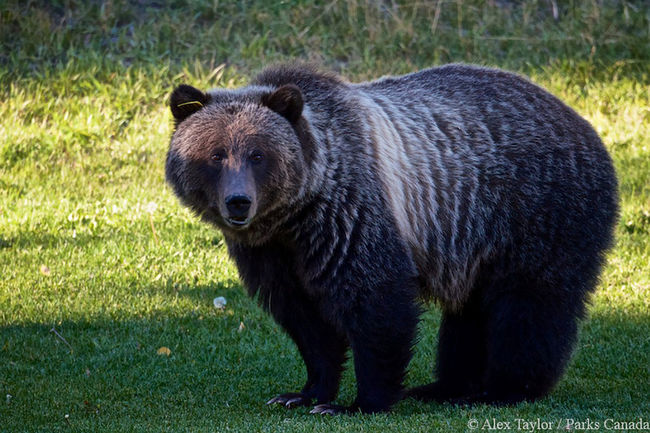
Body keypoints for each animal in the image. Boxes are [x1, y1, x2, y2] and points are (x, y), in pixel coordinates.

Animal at [165, 63, 618, 414]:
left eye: (258, 155)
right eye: (217, 154)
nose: (239, 203)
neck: (296, 215)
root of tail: (583, 123)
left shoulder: (350, 216)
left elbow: (376, 301)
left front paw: (358, 402)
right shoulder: (272, 253)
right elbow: (306, 320)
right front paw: (302, 393)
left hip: (537, 213)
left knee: (528, 306)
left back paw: (501, 390)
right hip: (474, 242)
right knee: (471, 314)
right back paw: (445, 387)